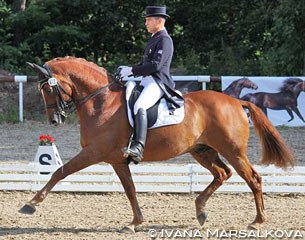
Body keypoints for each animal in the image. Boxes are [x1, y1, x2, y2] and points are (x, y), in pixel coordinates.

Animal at [20, 56, 294, 232]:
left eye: (48, 89)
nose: (54, 120)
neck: (101, 101)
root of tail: (237, 101)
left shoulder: (93, 152)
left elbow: (59, 171)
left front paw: (31, 204)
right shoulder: (117, 159)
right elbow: (130, 190)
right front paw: (135, 222)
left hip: (233, 151)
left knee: (253, 179)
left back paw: (257, 221)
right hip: (202, 151)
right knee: (222, 173)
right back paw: (200, 210)